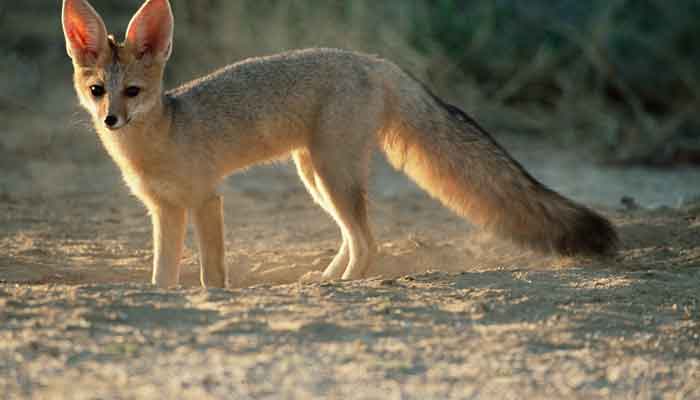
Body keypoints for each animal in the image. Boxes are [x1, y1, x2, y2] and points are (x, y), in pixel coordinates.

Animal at [61, 0, 616, 290]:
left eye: (133, 92)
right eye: (98, 90)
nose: (111, 119)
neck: (161, 137)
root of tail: (374, 60)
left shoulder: (205, 200)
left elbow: (212, 271)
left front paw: (212, 294)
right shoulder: (165, 210)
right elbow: (162, 273)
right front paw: (162, 292)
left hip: (331, 174)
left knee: (369, 241)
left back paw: (345, 285)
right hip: (315, 175)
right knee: (354, 238)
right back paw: (325, 279)